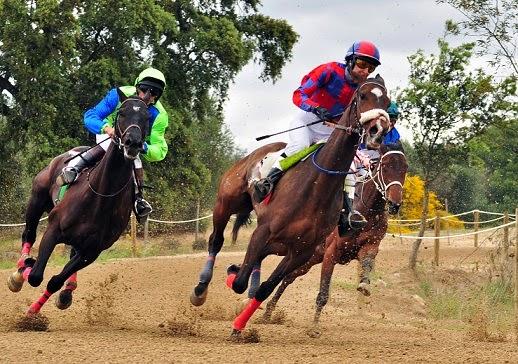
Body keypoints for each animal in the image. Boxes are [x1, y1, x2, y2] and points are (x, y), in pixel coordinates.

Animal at [7, 89, 149, 314]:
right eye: (121, 113)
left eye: (147, 117)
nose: (132, 143)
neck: (101, 198)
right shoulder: (53, 229)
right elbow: (36, 275)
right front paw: (25, 271)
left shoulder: (92, 251)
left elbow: (54, 281)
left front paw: (35, 310)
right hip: (37, 199)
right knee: (28, 234)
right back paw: (20, 270)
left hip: (77, 241)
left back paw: (67, 289)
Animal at [191, 75, 390, 336]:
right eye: (362, 95)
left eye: (387, 101)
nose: (378, 130)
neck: (316, 188)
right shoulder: (263, 231)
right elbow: (240, 281)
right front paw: (233, 276)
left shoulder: (301, 251)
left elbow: (266, 287)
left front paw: (239, 324)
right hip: (226, 203)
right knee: (216, 240)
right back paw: (200, 289)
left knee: (256, 262)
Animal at [264, 142, 410, 324]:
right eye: (385, 166)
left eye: (404, 168)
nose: (394, 204)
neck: (367, 213)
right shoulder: (331, 253)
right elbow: (323, 294)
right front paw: (314, 327)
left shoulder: (370, 246)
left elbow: (367, 263)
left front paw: (364, 284)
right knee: (283, 276)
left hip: (310, 260)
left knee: (288, 278)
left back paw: (268, 312)